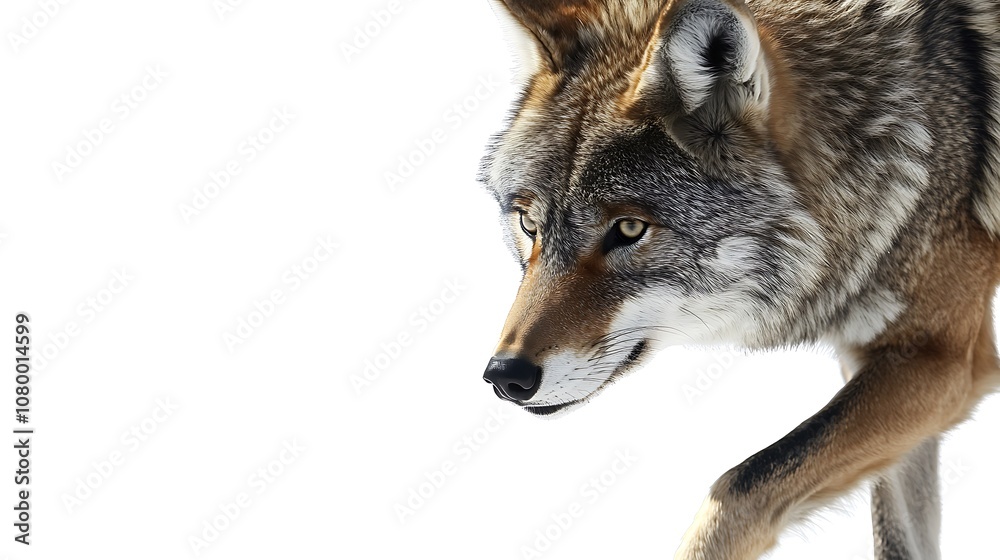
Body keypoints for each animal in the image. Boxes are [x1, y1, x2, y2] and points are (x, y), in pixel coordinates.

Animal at [476, 0, 1000, 558]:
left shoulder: (943, 361)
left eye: (629, 229)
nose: (506, 375)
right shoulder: (882, 363)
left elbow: (739, 487)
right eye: (529, 224)